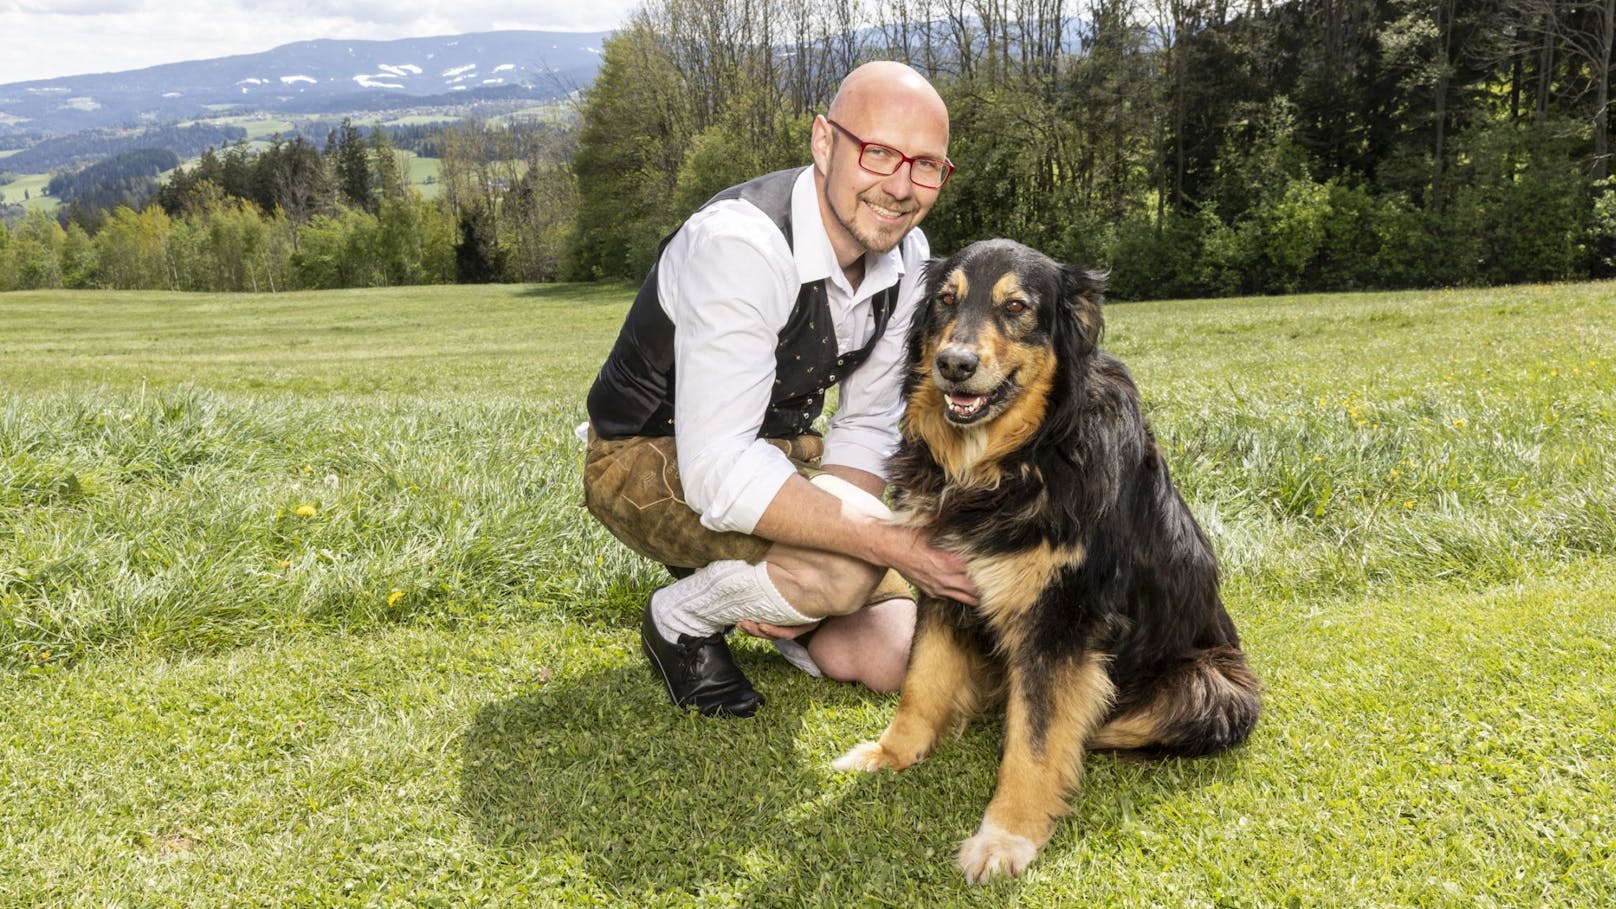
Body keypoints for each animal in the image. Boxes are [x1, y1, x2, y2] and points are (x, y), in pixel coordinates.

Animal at [833, 239, 1260, 879]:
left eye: (1016, 307)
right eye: (945, 301)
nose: (953, 364)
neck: (1017, 458)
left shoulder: (1061, 622)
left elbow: (1034, 742)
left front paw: (1007, 837)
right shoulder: (942, 587)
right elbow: (920, 684)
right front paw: (892, 752)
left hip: (1210, 690)